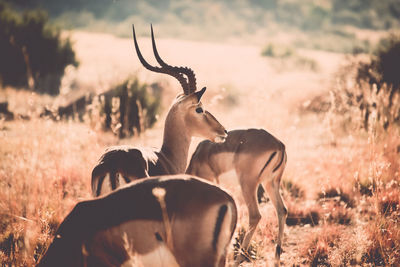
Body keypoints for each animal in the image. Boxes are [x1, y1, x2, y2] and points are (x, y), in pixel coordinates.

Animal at [186, 129, 286, 266]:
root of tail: (279, 145)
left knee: (255, 215)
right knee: (282, 210)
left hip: (248, 184)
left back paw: (237, 260)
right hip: (270, 183)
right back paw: (276, 259)